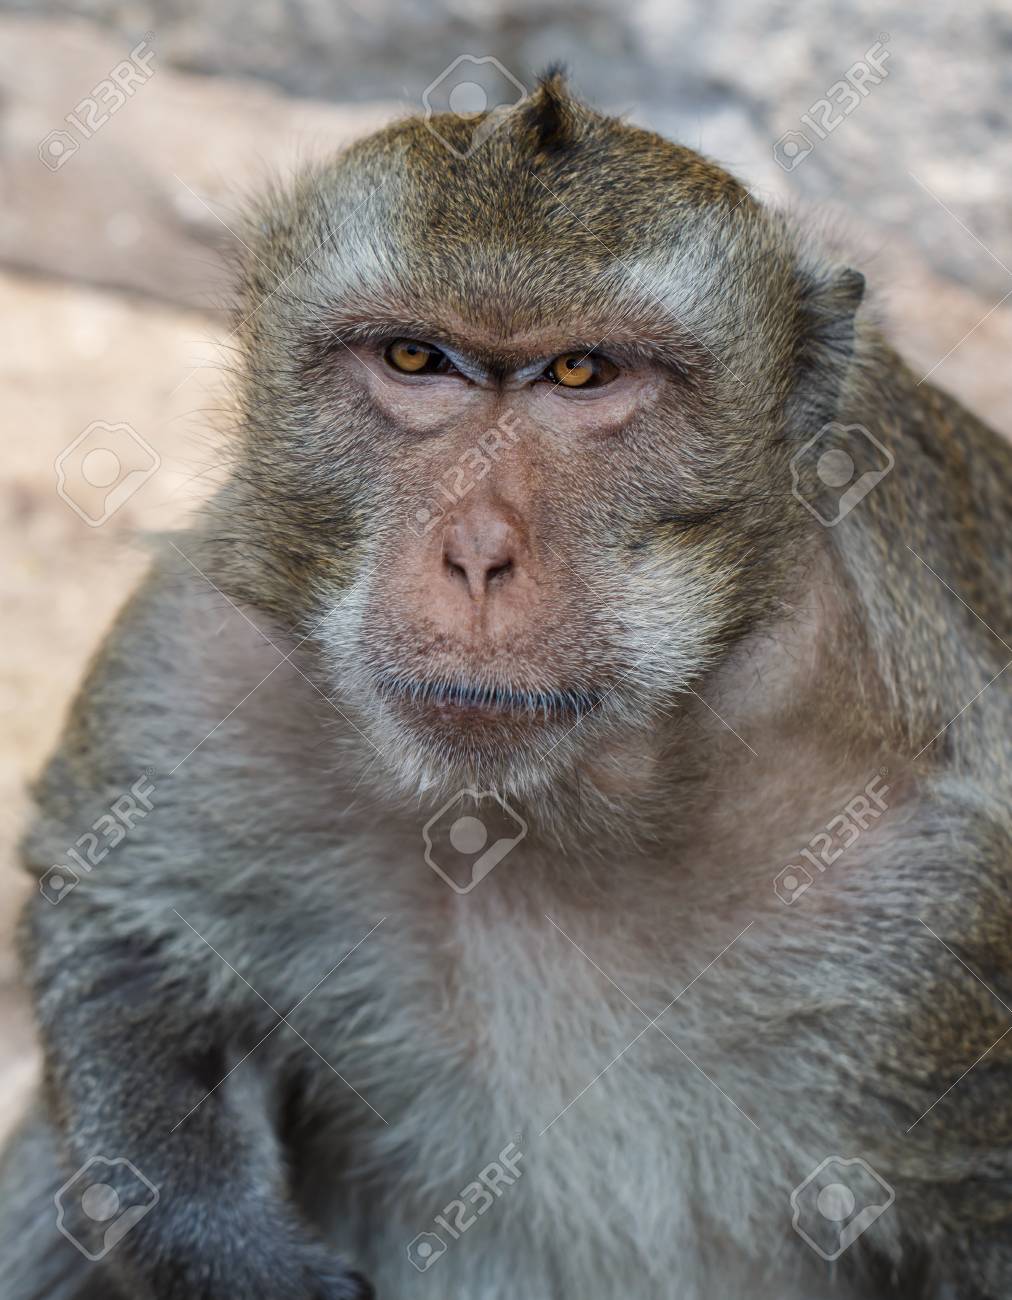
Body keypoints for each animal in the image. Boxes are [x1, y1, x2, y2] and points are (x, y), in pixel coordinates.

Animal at [1, 66, 1011, 1300]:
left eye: (583, 372)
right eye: (415, 361)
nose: (477, 552)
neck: (540, 804)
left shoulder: (936, 886)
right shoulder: (204, 651)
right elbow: (117, 930)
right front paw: (229, 1251)